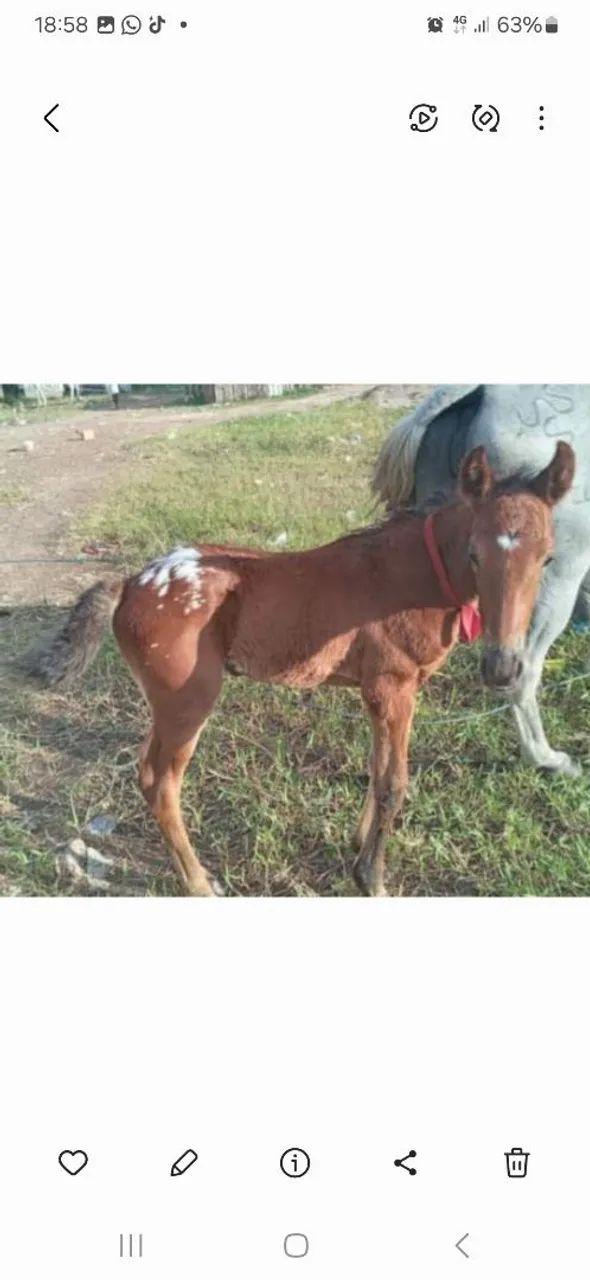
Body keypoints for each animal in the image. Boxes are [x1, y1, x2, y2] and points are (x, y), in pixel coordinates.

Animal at [33, 443, 574, 897]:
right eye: (475, 554)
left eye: (548, 558)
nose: (503, 667)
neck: (412, 575)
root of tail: (130, 583)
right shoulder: (394, 688)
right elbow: (394, 783)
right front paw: (372, 879)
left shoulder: (380, 692)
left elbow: (375, 768)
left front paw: (357, 847)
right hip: (190, 702)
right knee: (162, 784)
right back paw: (200, 883)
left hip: (165, 705)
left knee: (145, 770)